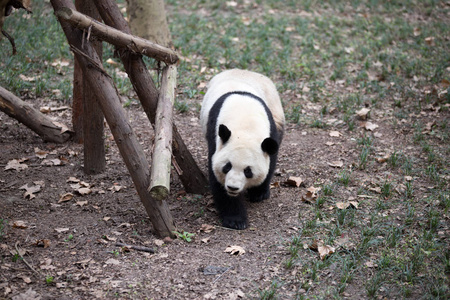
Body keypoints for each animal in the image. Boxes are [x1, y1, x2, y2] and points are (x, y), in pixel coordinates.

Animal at [200, 69, 284, 230]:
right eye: (227, 166)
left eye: (248, 171)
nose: (233, 187)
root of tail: (244, 71)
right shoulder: (216, 137)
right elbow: (217, 179)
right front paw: (236, 220)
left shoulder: (270, 131)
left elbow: (270, 161)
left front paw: (258, 193)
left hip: (276, 108)